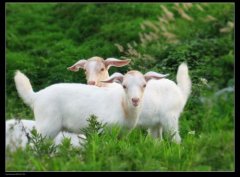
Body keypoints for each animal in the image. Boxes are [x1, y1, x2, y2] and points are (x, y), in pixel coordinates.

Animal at [13, 70, 167, 139]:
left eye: (144, 85)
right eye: (124, 86)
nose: (135, 100)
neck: (123, 106)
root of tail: (37, 96)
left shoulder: (122, 134)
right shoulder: (103, 130)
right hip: (47, 125)